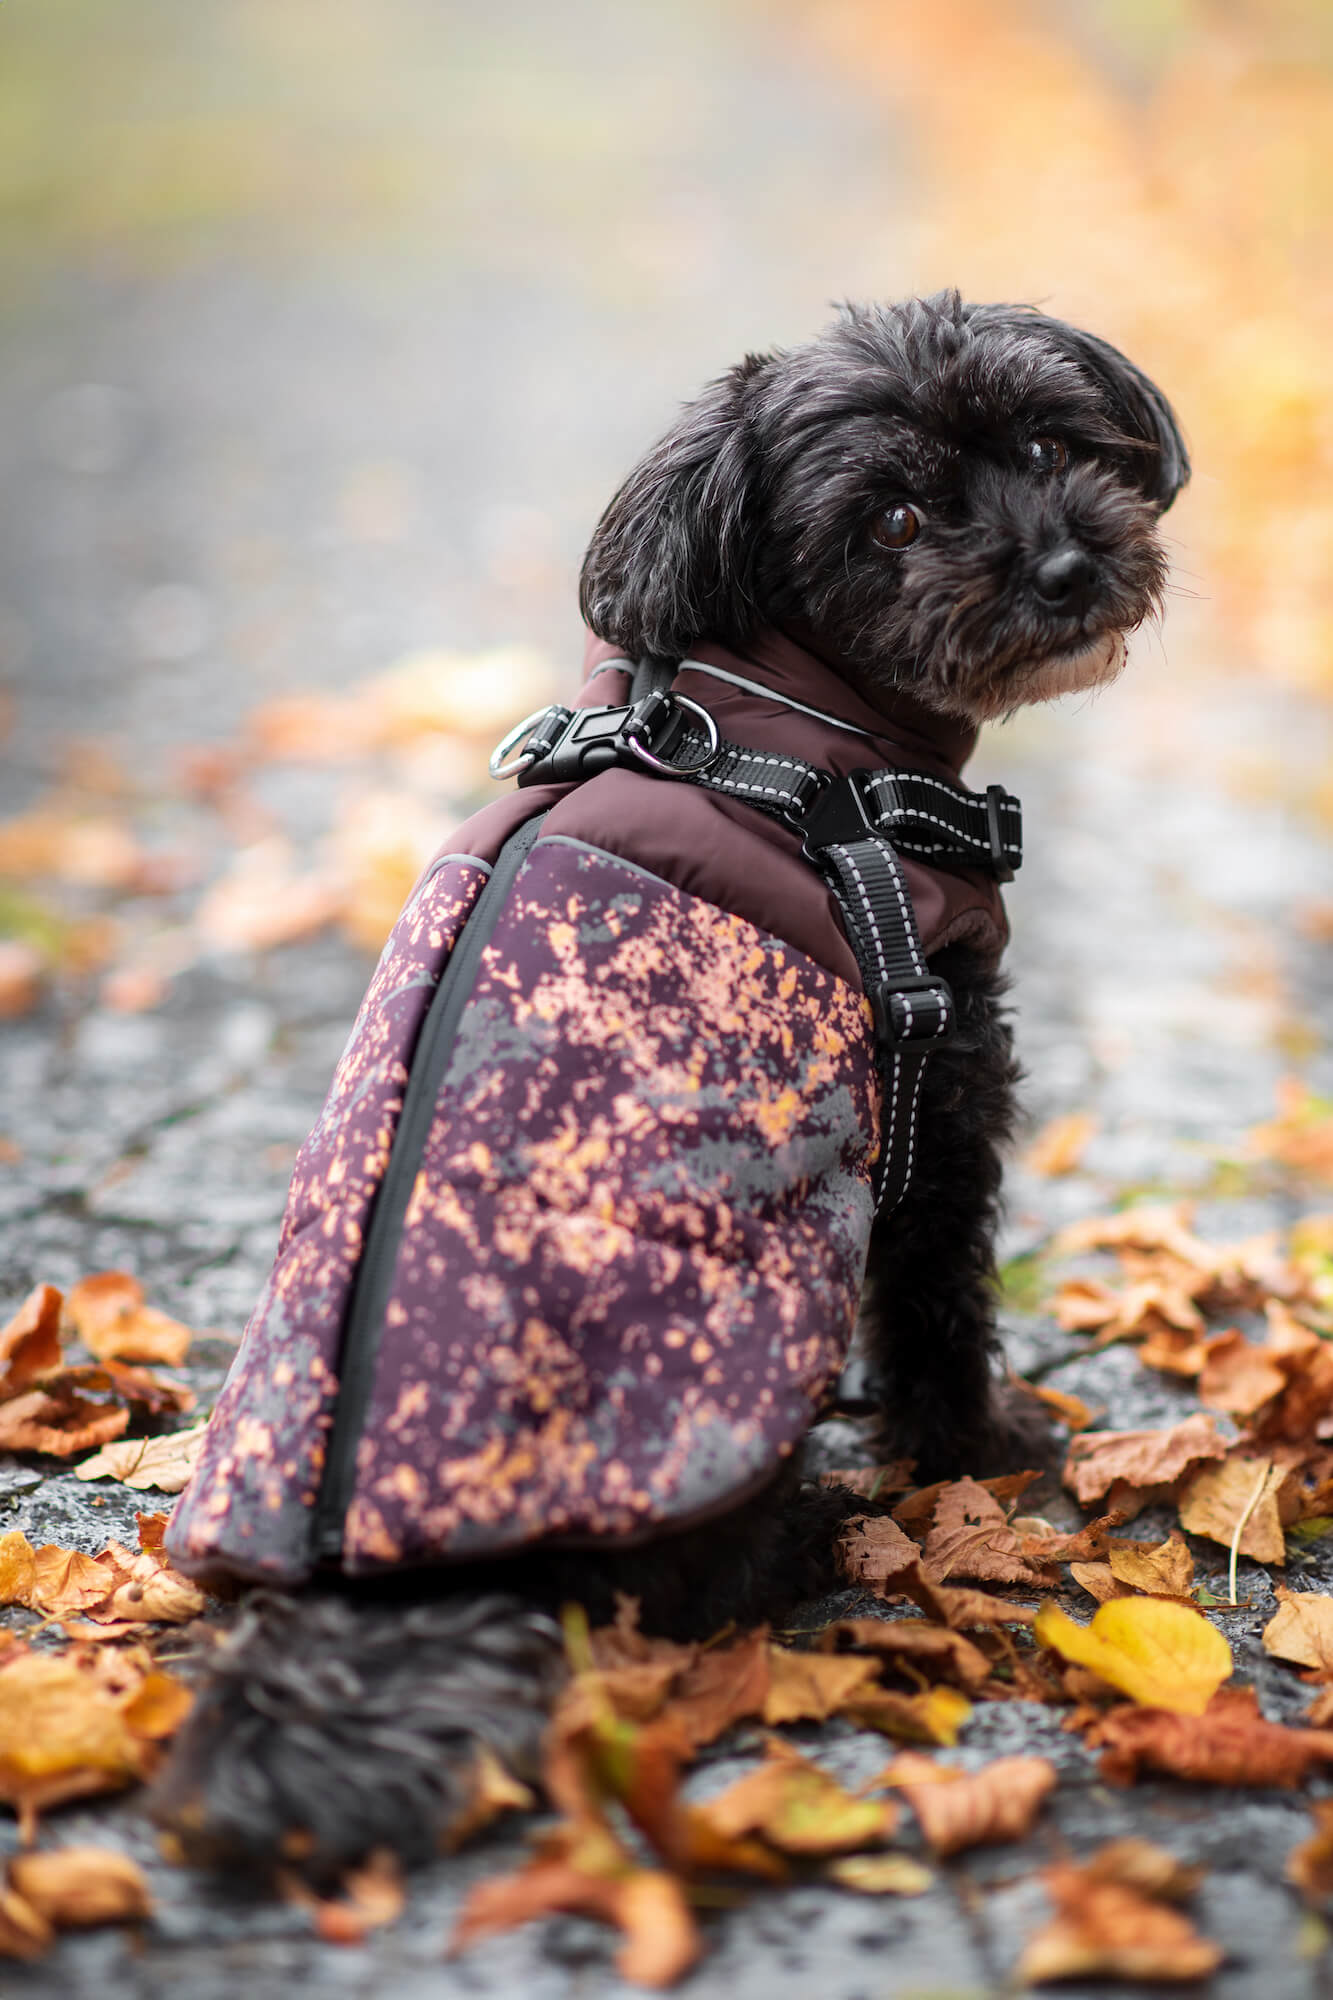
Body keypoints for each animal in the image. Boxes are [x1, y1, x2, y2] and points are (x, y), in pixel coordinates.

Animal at [153, 290, 1184, 1880]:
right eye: (891, 519)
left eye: (1038, 442)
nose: (1068, 562)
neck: (776, 730)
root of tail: (370, 1569)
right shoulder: (934, 1074)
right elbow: (940, 1298)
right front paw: (982, 1450)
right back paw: (818, 1532)